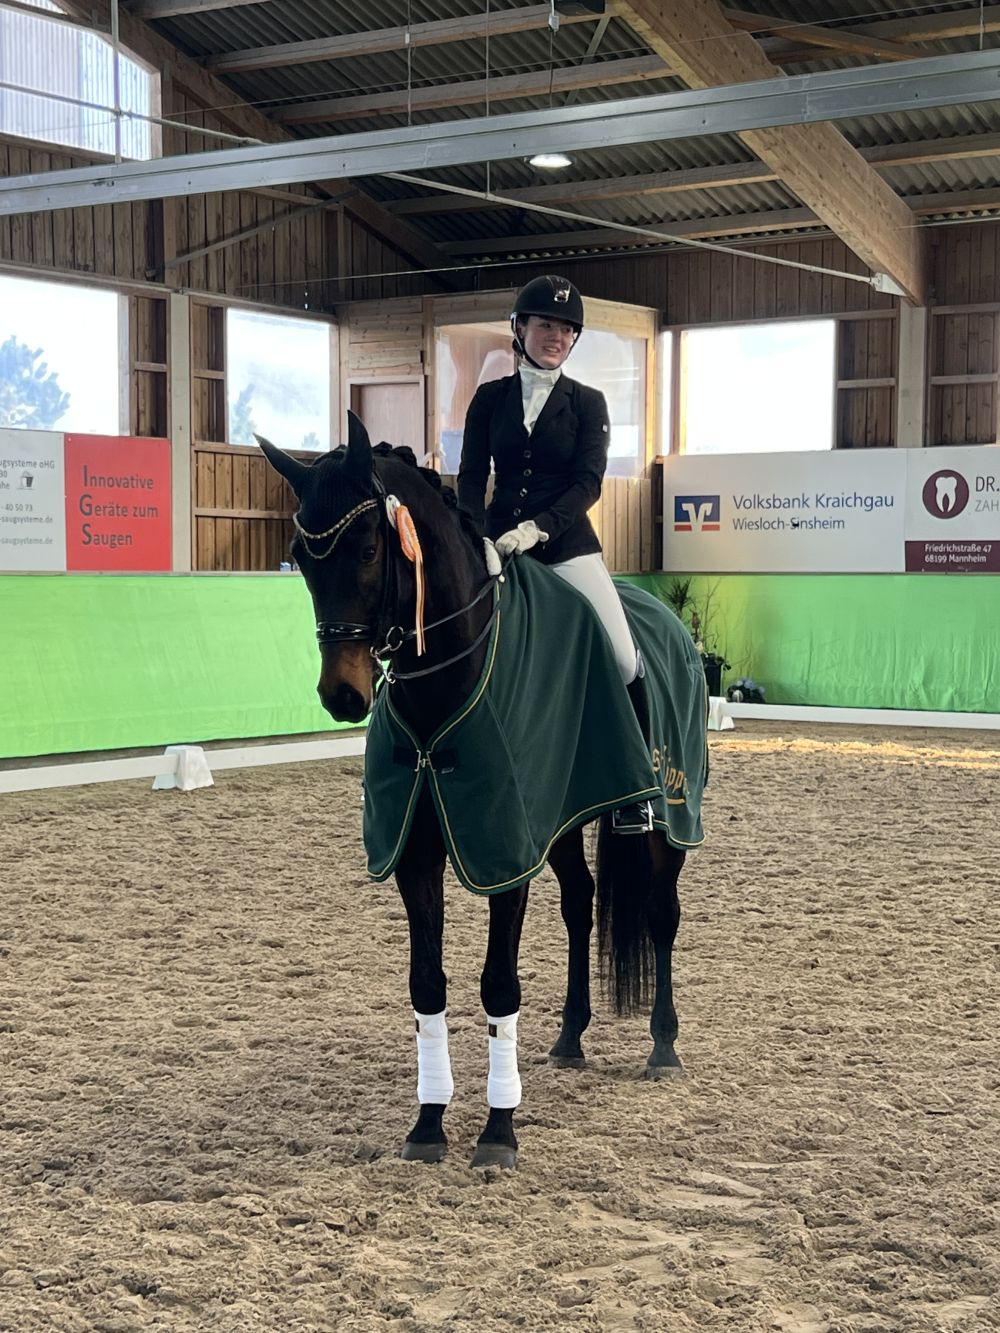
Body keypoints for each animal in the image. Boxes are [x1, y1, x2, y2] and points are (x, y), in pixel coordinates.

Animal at [257, 413, 705, 1170]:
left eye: (371, 546)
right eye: (300, 554)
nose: (342, 695)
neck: (447, 680)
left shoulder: (504, 854)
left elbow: (499, 983)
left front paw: (499, 1131)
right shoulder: (418, 853)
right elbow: (426, 984)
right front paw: (428, 1121)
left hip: (673, 817)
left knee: (662, 913)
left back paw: (664, 1046)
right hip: (561, 822)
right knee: (580, 905)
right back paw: (570, 1037)